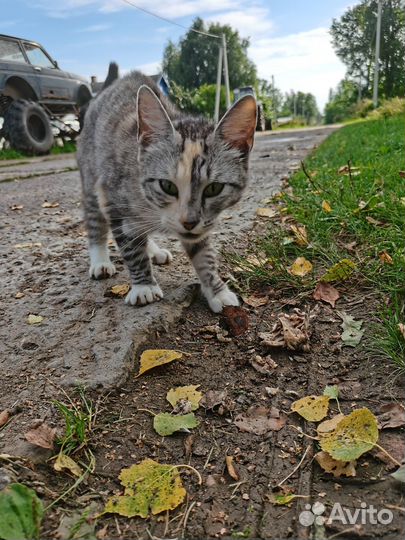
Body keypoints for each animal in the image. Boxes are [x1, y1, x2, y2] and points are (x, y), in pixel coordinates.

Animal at [76, 70, 256, 312]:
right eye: (167, 186)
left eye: (214, 188)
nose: (189, 222)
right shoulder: (114, 199)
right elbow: (130, 245)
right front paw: (144, 286)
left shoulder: (201, 227)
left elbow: (203, 253)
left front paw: (217, 290)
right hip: (91, 179)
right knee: (96, 220)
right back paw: (101, 261)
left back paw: (154, 250)